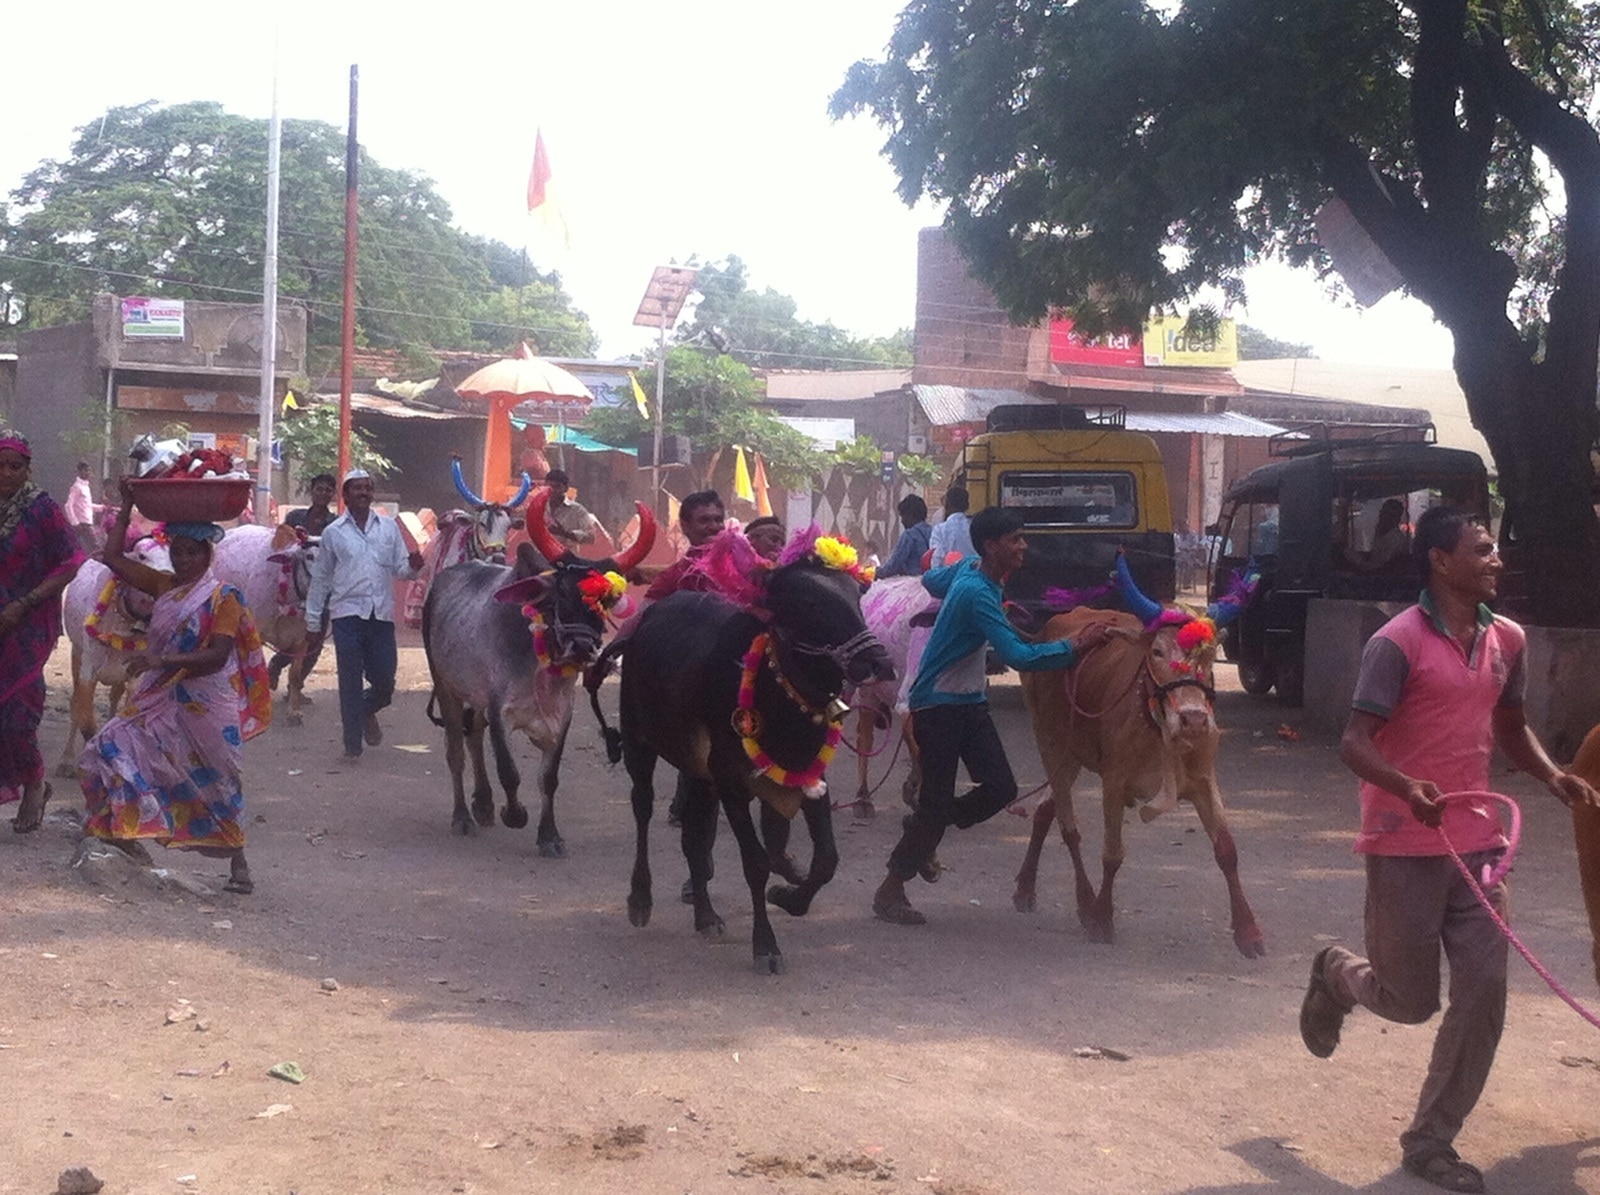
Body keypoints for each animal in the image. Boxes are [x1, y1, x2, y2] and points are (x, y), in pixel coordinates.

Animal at [598, 559, 902, 972]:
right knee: (642, 811)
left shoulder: (810, 777)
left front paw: (787, 897)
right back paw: (640, 900)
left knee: (693, 839)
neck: (781, 698)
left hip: (698, 773)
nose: (879, 662)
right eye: (808, 601)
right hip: (638, 745)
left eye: (857, 595)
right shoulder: (731, 784)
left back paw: (706, 916)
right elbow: (756, 862)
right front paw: (766, 945)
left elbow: (826, 859)